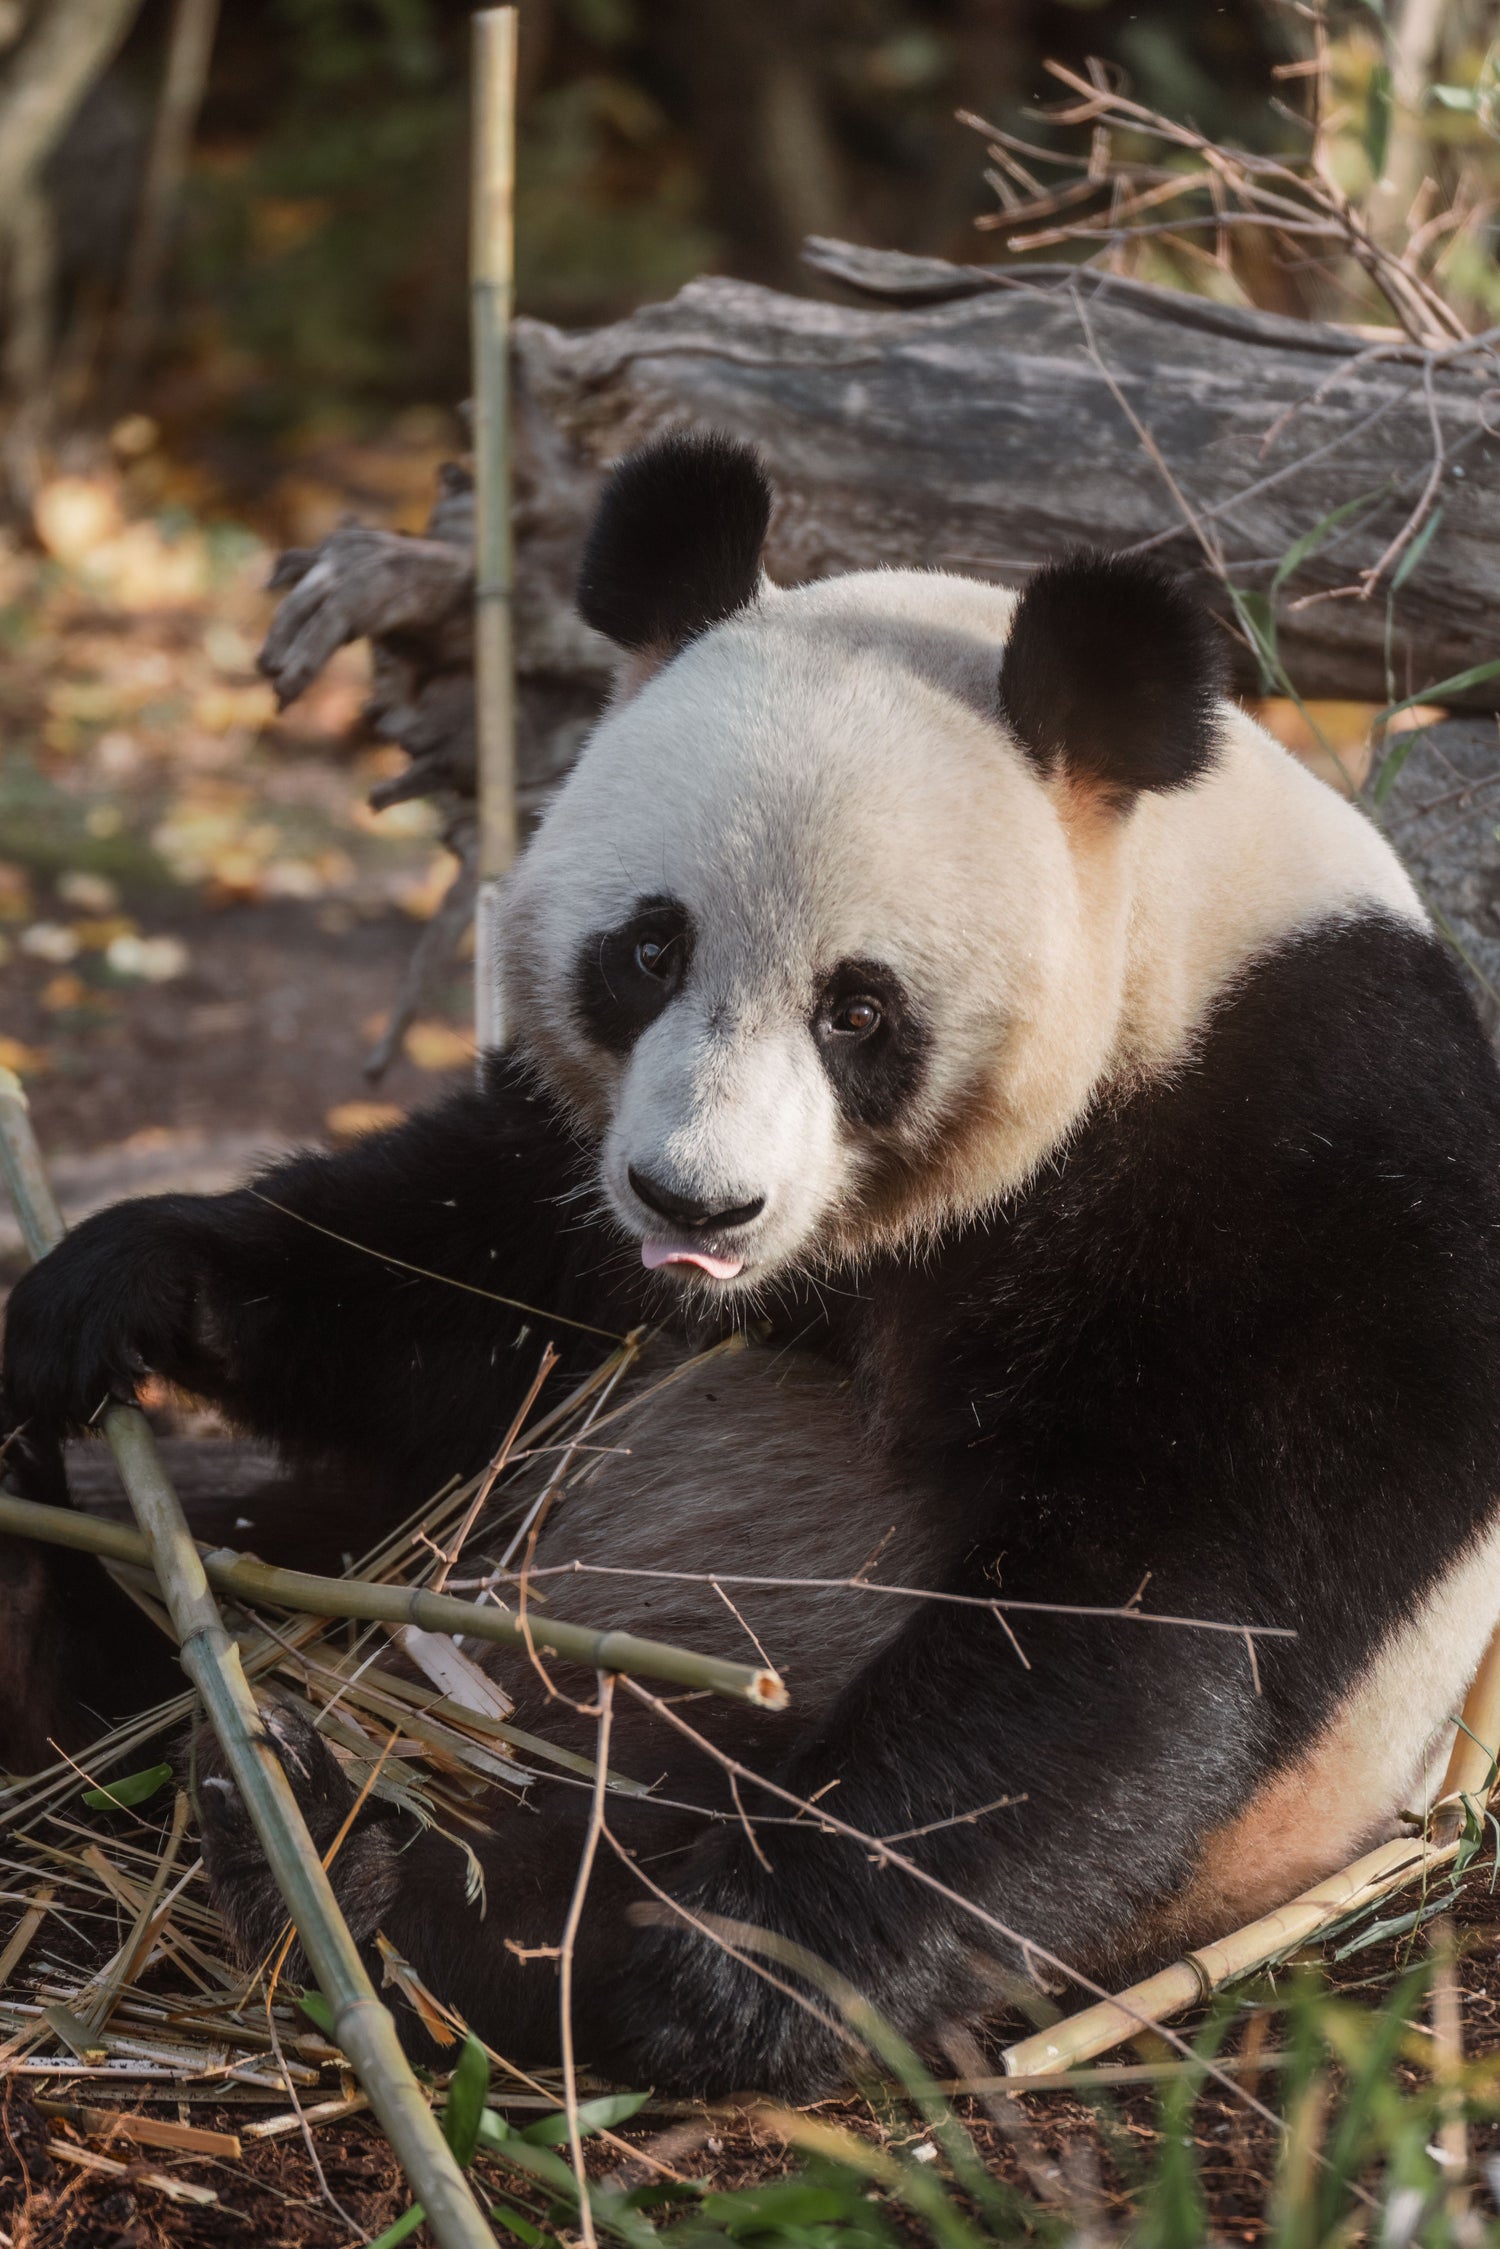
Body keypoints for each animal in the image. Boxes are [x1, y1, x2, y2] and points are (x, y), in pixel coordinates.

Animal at [5, 430, 1500, 2101]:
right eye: (650, 949)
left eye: (858, 1009)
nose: (696, 1202)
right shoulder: (582, 1191)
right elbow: (466, 1285)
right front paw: (122, 1288)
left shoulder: (1300, 1161)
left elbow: (1153, 1620)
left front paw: (718, 1959)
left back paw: (378, 1873)